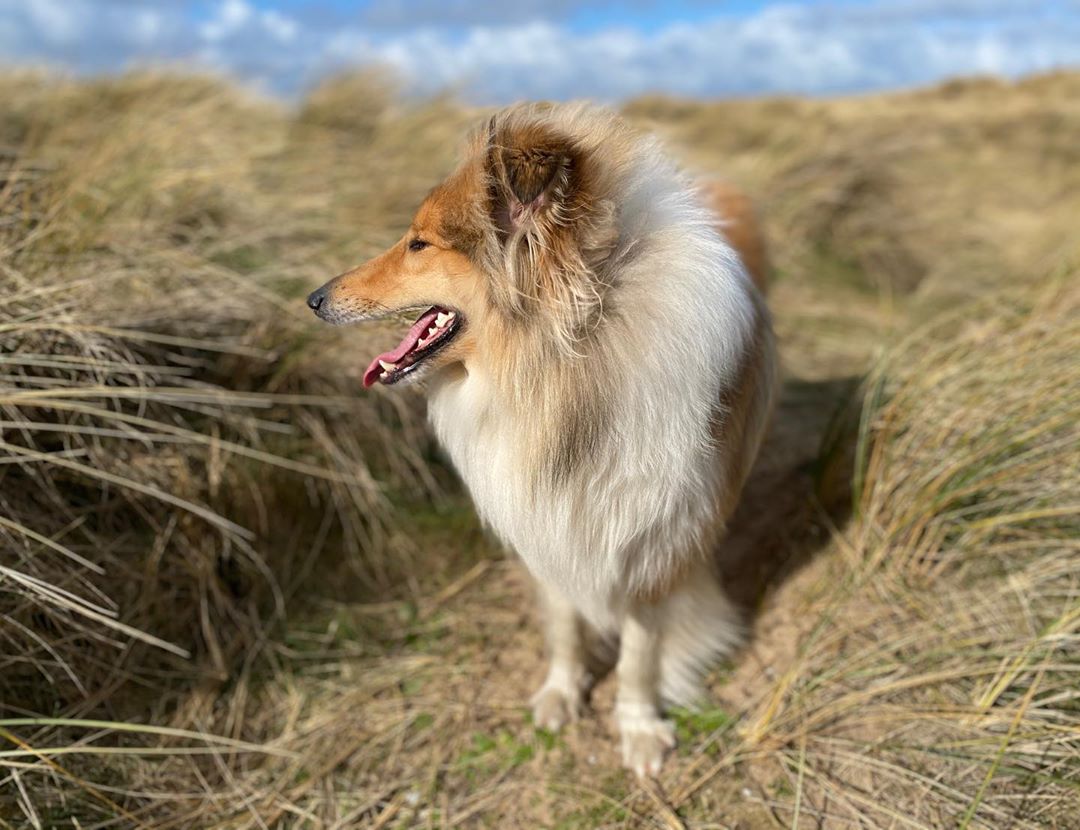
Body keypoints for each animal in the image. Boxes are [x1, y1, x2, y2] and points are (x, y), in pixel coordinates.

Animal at [307, 103, 777, 777]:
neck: (566, 363)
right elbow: (563, 620)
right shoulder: (548, 516)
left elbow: (641, 650)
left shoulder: (656, 537)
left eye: (420, 243)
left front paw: (638, 726)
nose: (313, 299)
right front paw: (561, 692)